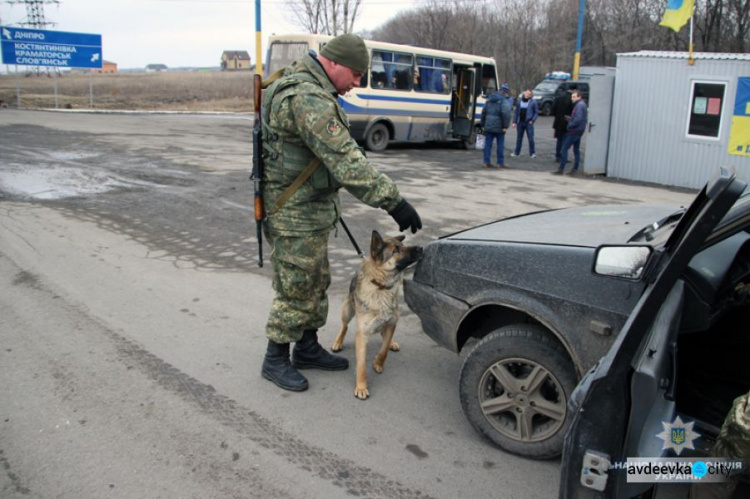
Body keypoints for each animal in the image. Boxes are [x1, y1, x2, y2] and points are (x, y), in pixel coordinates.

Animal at [334, 232, 424, 400]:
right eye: (396, 250)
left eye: (402, 246)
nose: (421, 248)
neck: (381, 287)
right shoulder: (362, 334)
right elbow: (361, 365)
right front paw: (361, 387)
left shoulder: (392, 324)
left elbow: (384, 350)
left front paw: (378, 362)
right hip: (347, 310)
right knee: (344, 326)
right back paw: (338, 342)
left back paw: (392, 342)